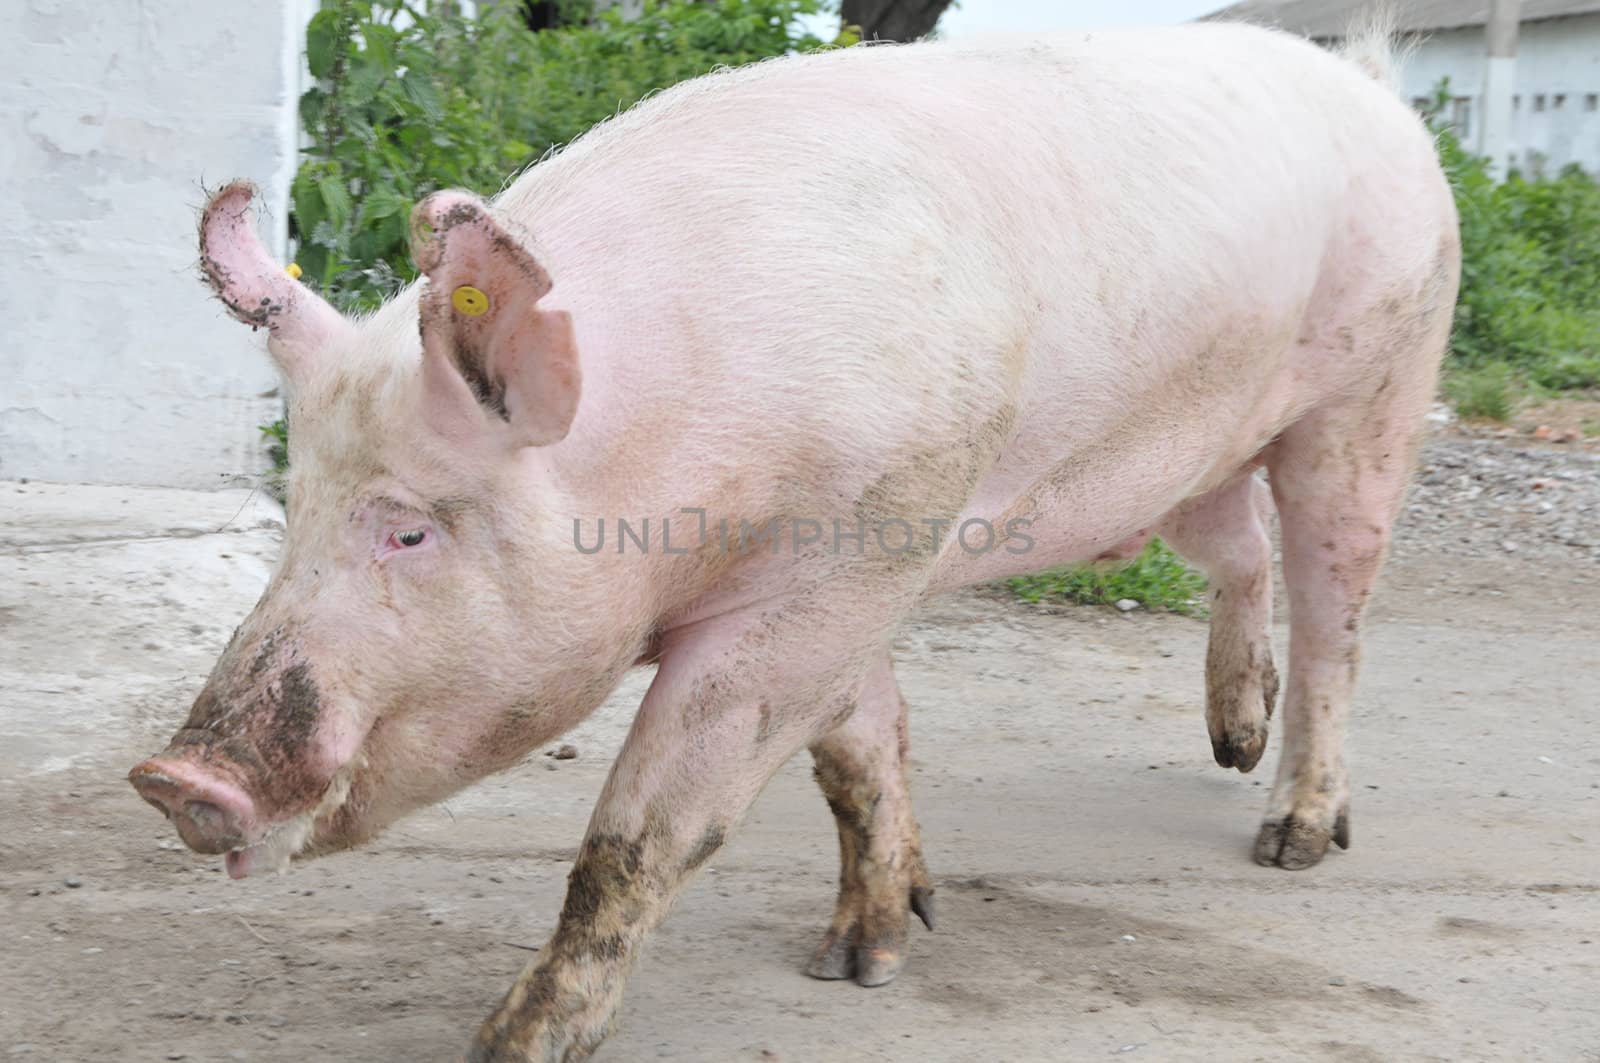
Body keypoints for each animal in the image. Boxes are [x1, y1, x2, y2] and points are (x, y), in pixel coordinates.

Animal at [131, 20, 1465, 1056]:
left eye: (409, 530)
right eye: (296, 509)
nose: (173, 778)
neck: (672, 450)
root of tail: (1374, 89)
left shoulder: (834, 564)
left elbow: (642, 832)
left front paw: (509, 1043)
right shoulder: (862, 562)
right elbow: (857, 746)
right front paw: (871, 950)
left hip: (1381, 384)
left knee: (1336, 604)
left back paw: (1291, 837)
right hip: (1192, 457)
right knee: (1239, 550)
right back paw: (1230, 741)